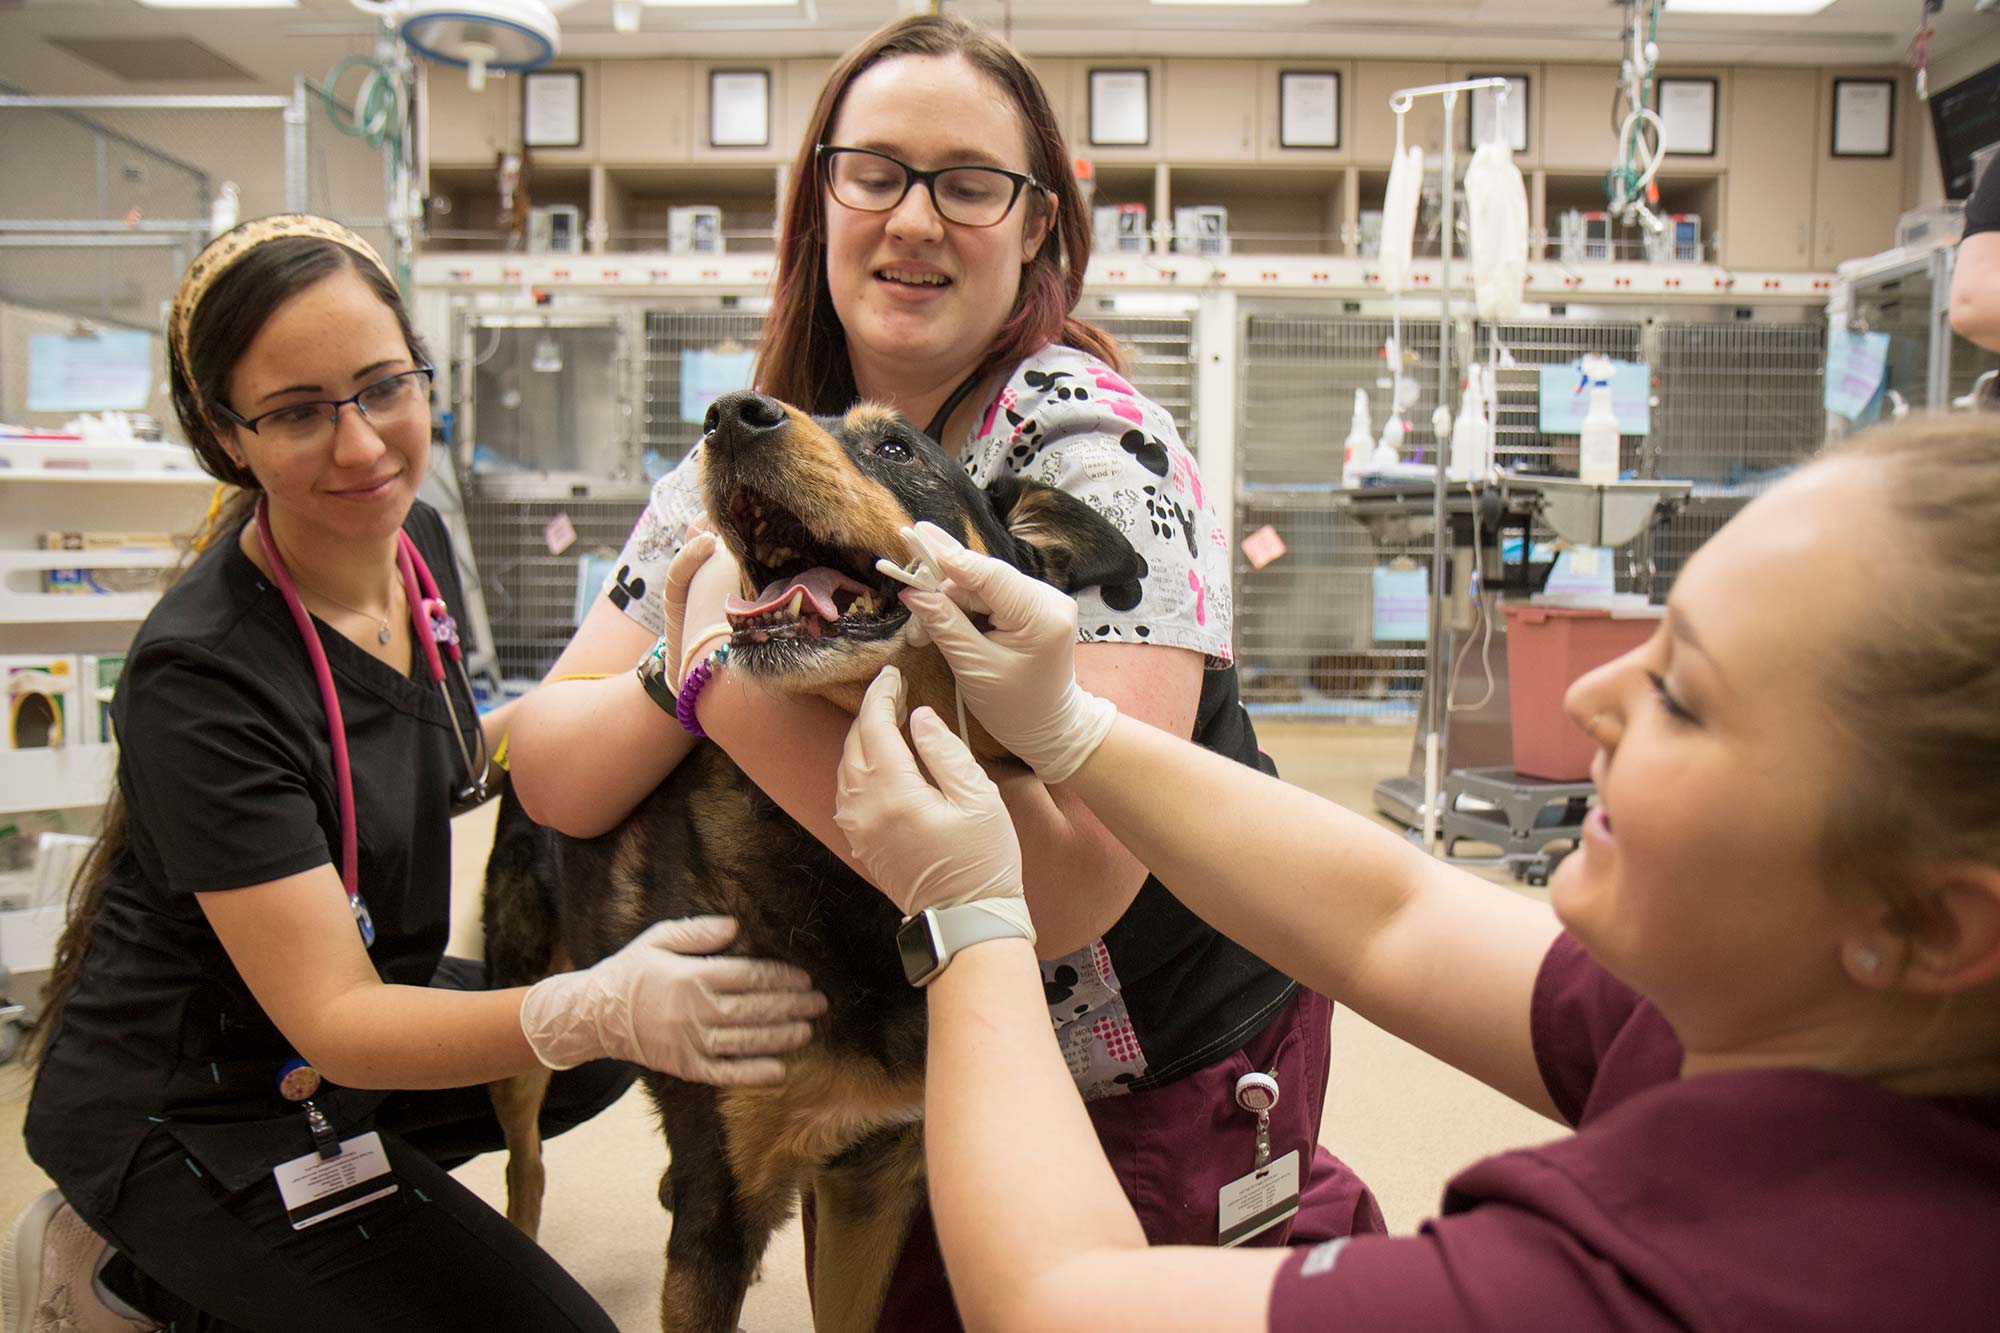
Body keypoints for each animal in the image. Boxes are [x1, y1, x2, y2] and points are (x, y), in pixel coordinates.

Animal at [483, 389, 1146, 1332]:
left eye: (897, 448)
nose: (729, 414)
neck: (843, 880)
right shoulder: (721, 1212)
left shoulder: (874, 1179)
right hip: (521, 1003)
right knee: (525, 1156)